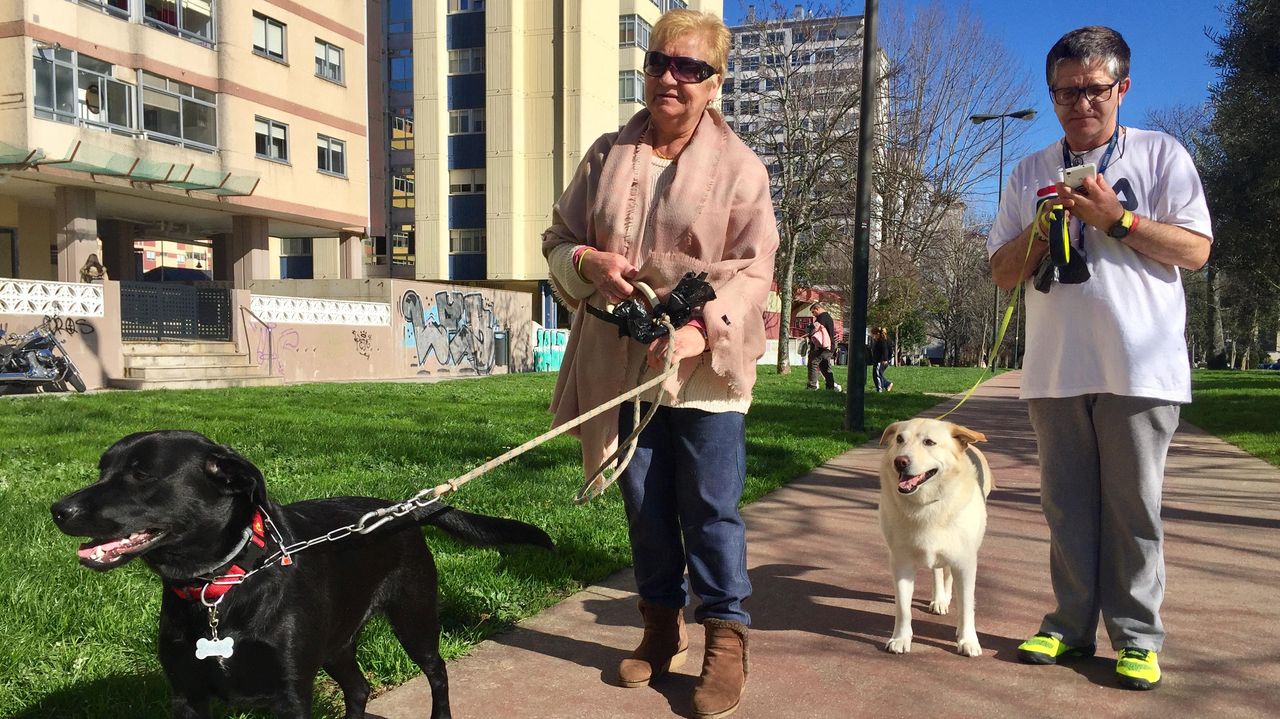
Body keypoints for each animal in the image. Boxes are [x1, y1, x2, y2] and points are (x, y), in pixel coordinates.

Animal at [49, 429, 552, 716]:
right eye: (102, 469)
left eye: (141, 474)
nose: (58, 510)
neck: (221, 585)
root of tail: (402, 512)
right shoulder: (186, 694)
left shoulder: (290, 693)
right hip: (337, 642)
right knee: (360, 689)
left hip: (415, 618)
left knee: (438, 673)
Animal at [880, 414, 988, 655]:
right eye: (899, 439)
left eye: (929, 442)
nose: (900, 461)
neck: (926, 505)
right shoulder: (900, 563)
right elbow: (903, 608)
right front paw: (901, 638)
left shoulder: (965, 563)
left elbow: (967, 607)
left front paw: (968, 640)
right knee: (938, 571)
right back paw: (939, 598)